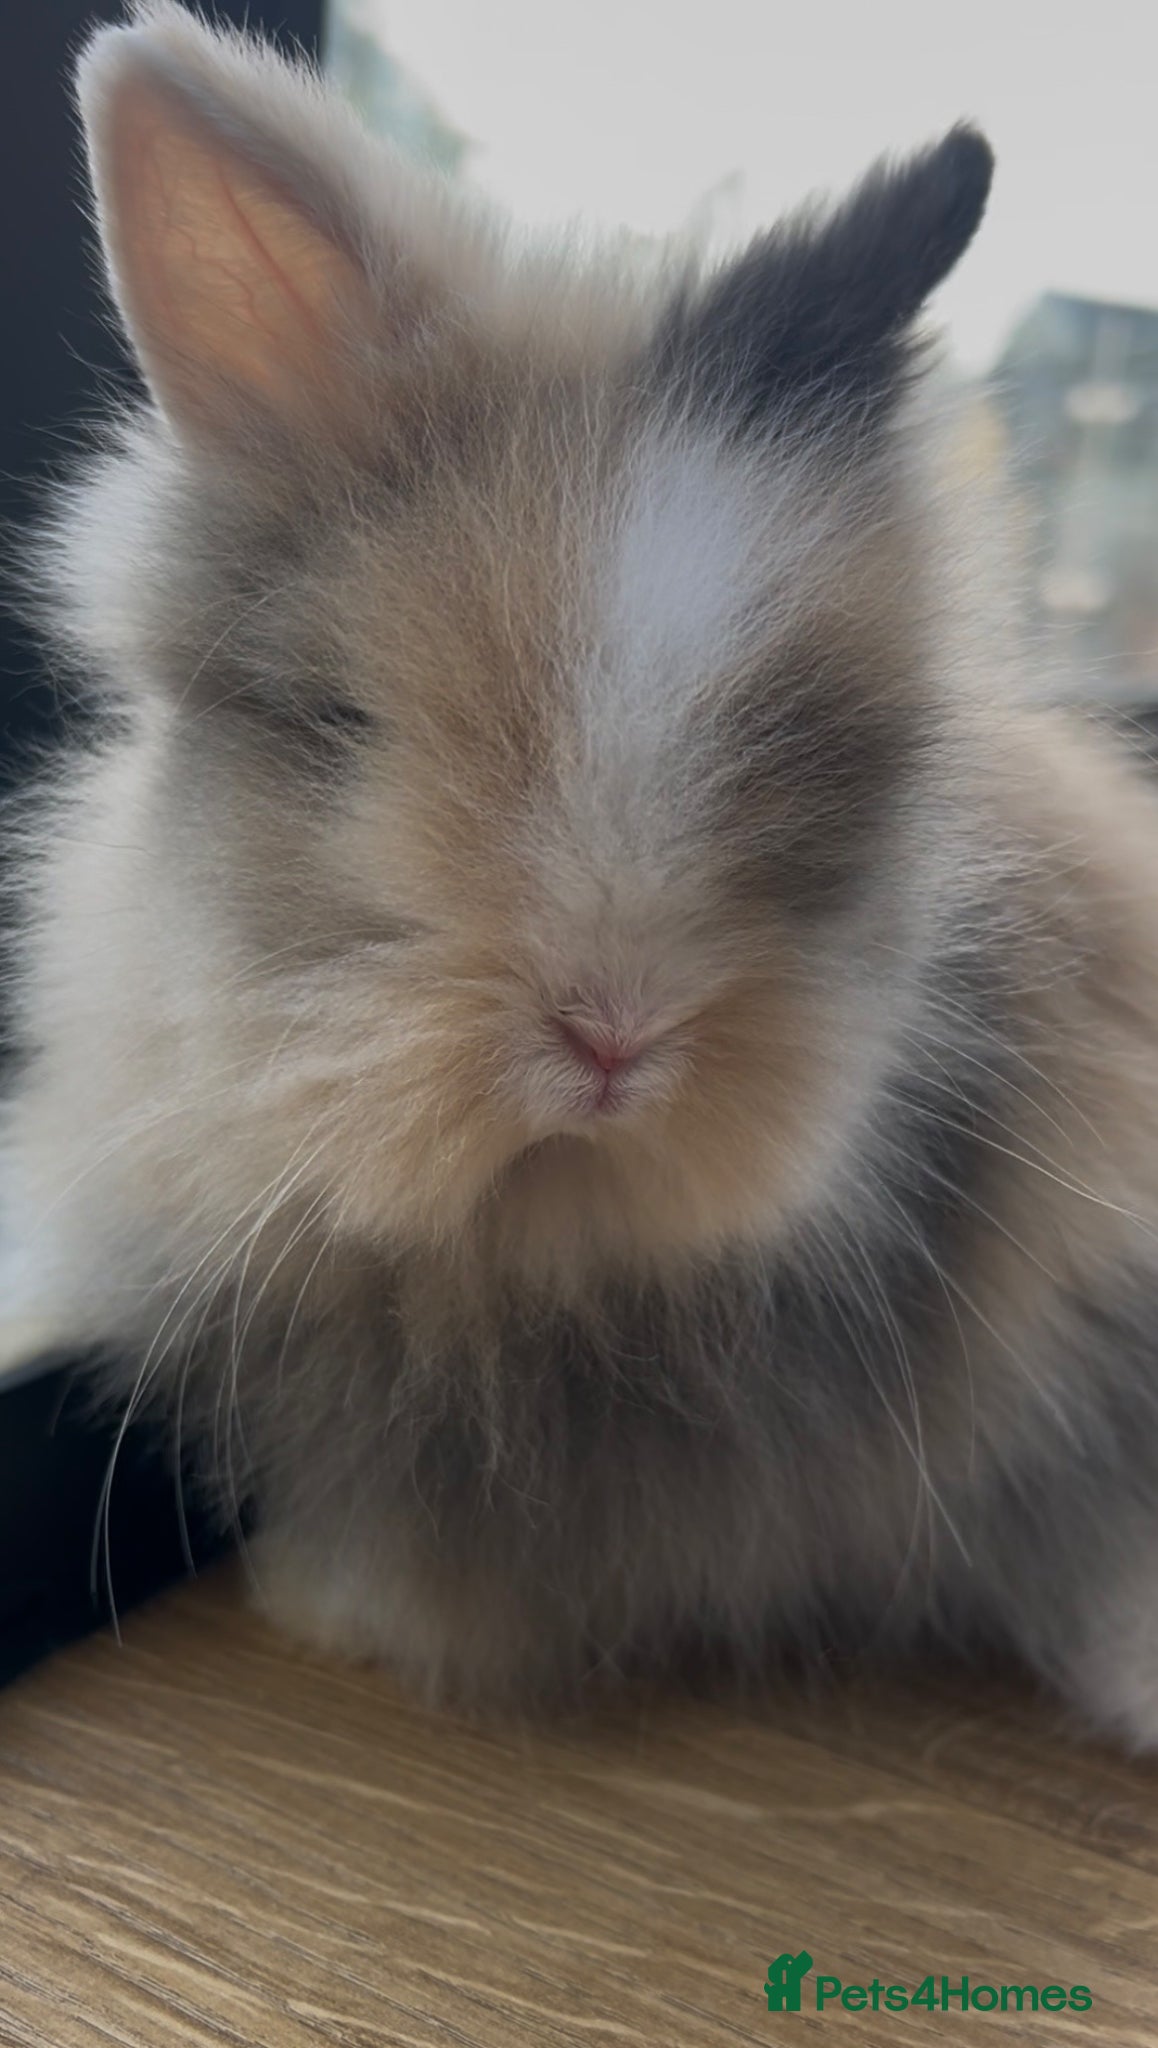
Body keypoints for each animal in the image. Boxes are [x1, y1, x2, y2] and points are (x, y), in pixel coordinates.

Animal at [7, 0, 1158, 1741]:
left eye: (801, 746)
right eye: (345, 723)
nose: (615, 1038)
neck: (535, 1254)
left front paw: (337, 1610)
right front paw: (321, 1599)